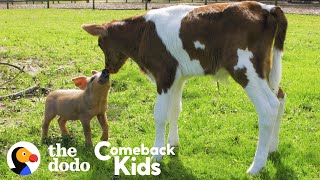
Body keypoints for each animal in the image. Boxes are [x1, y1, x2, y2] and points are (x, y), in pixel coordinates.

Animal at [82, 1, 288, 175]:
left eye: (100, 43)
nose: (107, 69)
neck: (142, 33)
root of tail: (265, 7)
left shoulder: (164, 75)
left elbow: (160, 114)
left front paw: (157, 154)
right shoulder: (177, 77)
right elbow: (174, 110)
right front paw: (172, 144)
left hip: (245, 68)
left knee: (268, 107)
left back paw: (257, 165)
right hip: (265, 69)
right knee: (280, 97)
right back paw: (272, 148)